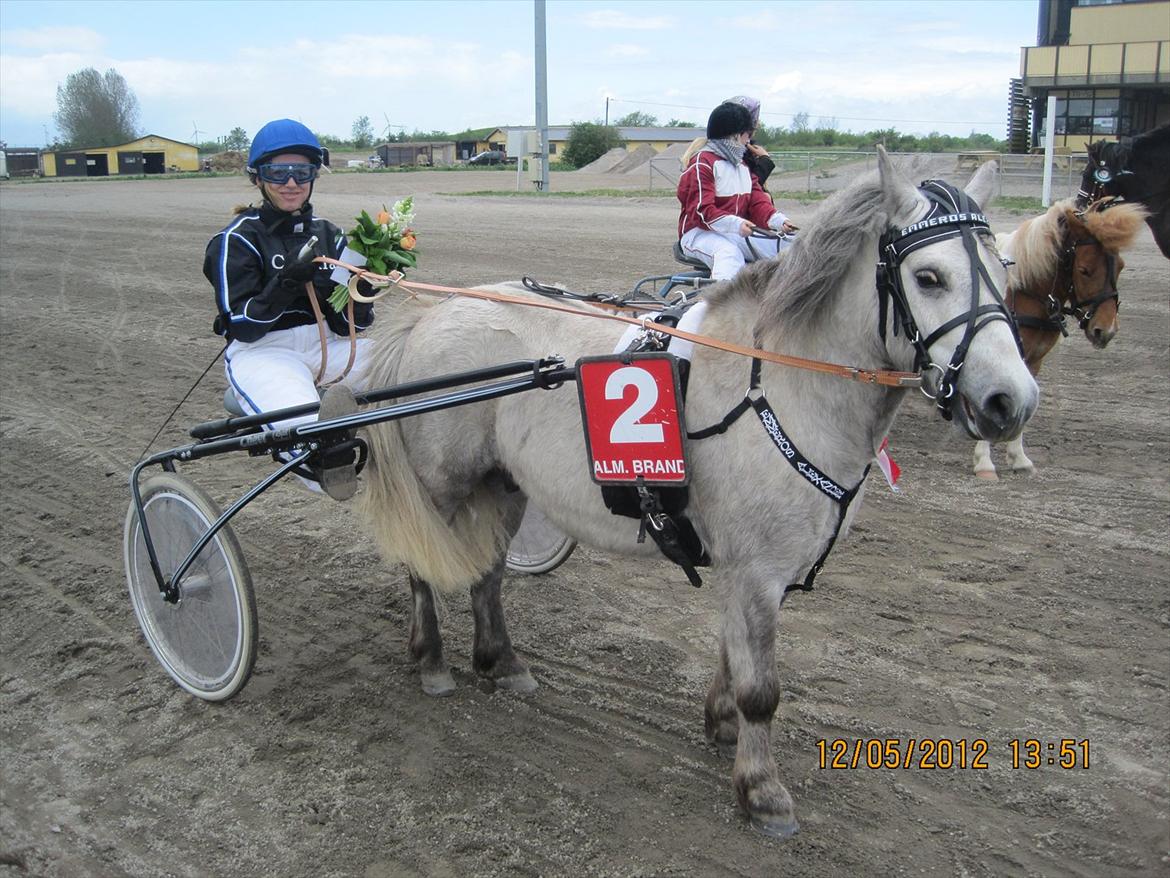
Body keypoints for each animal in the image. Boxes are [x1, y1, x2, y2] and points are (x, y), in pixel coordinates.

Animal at [973, 197, 1146, 482]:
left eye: (1120, 266)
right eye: (1085, 270)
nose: (1106, 330)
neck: (1020, 292)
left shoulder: (1033, 361)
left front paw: (1019, 458)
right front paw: (985, 462)